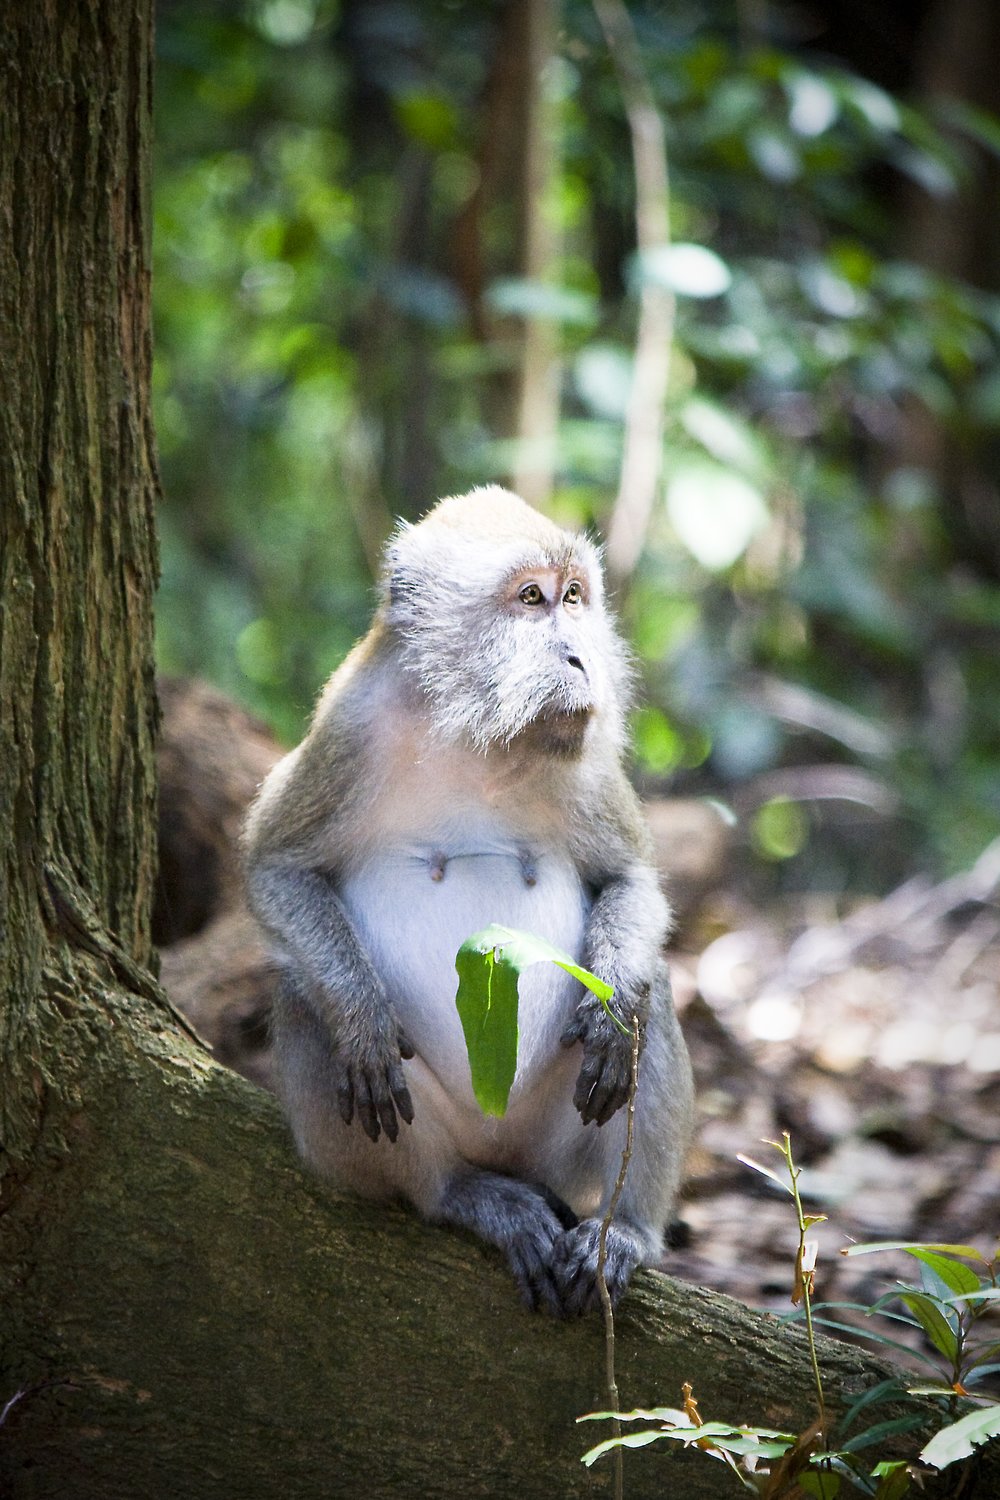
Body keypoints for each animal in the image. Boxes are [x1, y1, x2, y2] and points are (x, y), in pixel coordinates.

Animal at [243, 486, 693, 1315]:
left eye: (573, 597)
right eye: (530, 599)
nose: (580, 657)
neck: (480, 734)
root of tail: (501, 1149)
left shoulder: (587, 752)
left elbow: (631, 879)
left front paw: (612, 1003)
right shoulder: (349, 724)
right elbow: (276, 867)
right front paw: (361, 1018)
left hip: (553, 1138)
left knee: (654, 996)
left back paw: (626, 1232)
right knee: (301, 995)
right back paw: (459, 1193)